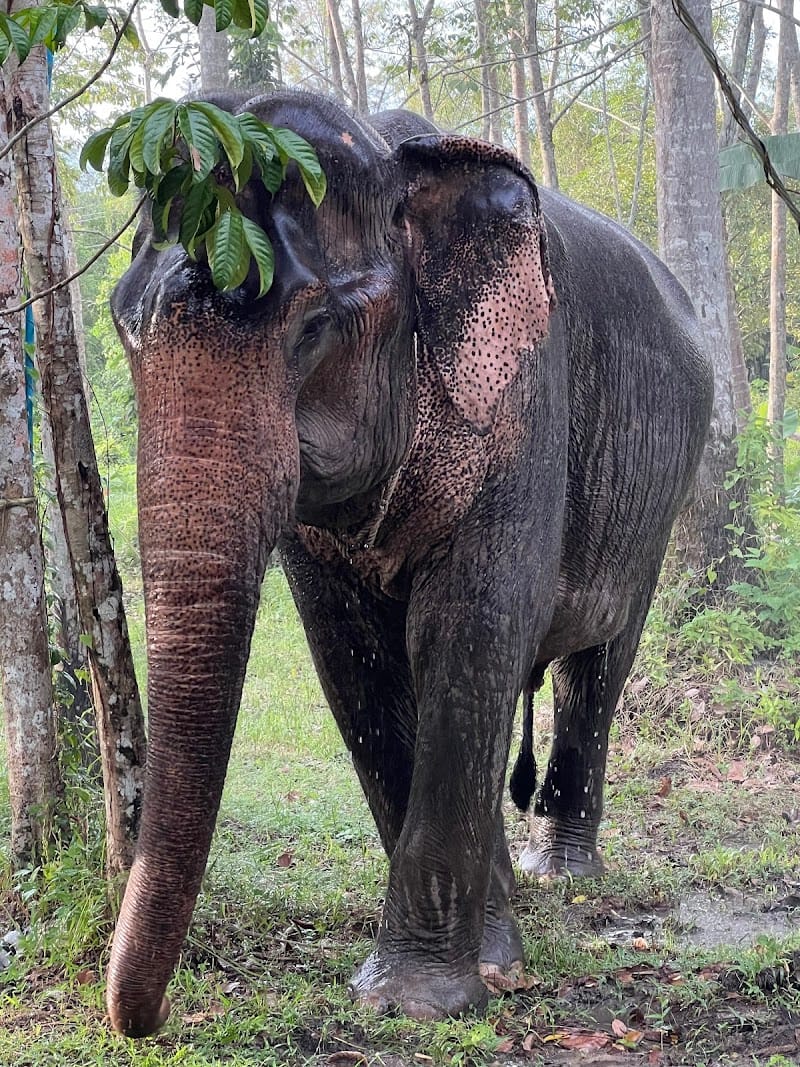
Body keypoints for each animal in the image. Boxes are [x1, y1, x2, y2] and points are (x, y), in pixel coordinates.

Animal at [106, 87, 712, 1037]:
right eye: (121, 332)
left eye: (311, 329)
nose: (145, 1020)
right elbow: (356, 661)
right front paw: (491, 950)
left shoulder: (527, 395)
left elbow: (468, 632)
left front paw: (420, 998)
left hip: (662, 490)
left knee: (599, 663)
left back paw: (561, 871)